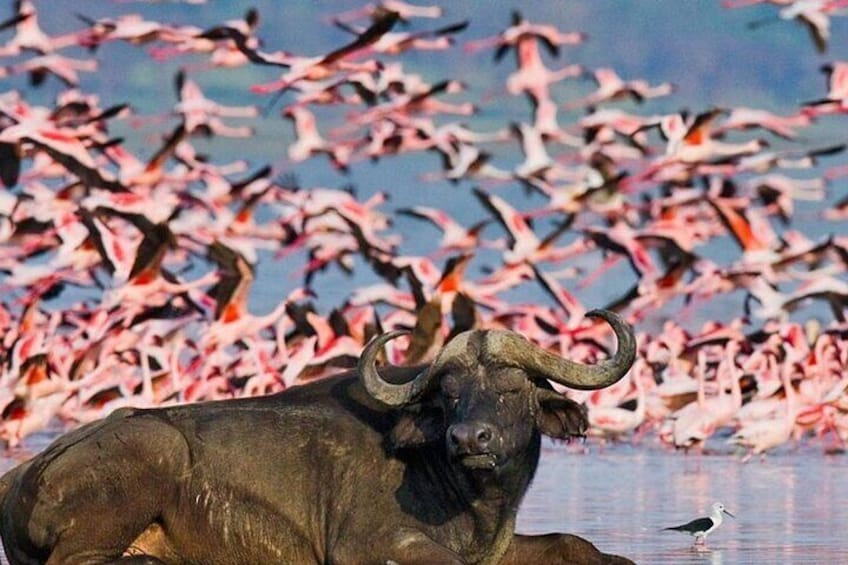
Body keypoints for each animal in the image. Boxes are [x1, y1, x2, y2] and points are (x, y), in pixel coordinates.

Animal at [0, 309, 636, 564]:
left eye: (512, 388)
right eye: (449, 393)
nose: (469, 440)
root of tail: (22, 476)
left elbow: (578, 545)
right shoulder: (368, 546)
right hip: (152, 454)